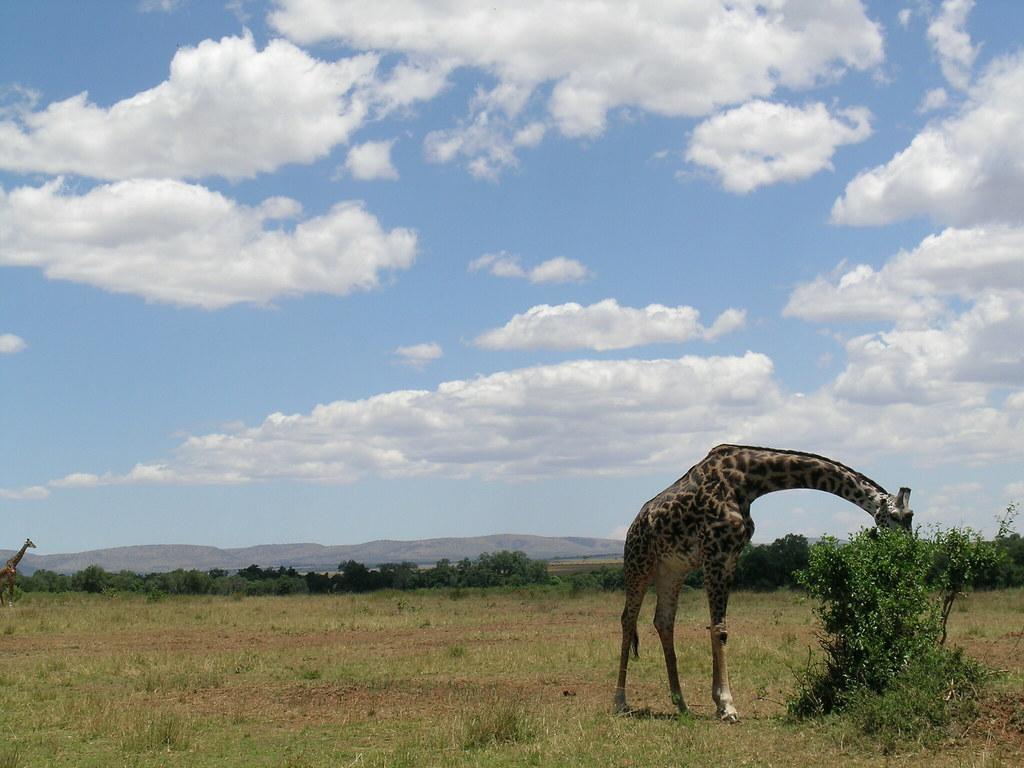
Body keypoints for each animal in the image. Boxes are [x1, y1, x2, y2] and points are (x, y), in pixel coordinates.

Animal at [610, 444, 917, 720]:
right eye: (898, 516)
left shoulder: (731, 556)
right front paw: (727, 706)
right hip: (638, 563)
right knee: (628, 618)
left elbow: (718, 627)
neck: (749, 481)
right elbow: (719, 628)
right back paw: (620, 702)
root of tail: (633, 525)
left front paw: (719, 703)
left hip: (672, 571)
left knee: (663, 621)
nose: (909, 549)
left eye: (911, 517)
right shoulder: (715, 553)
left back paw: (682, 705)